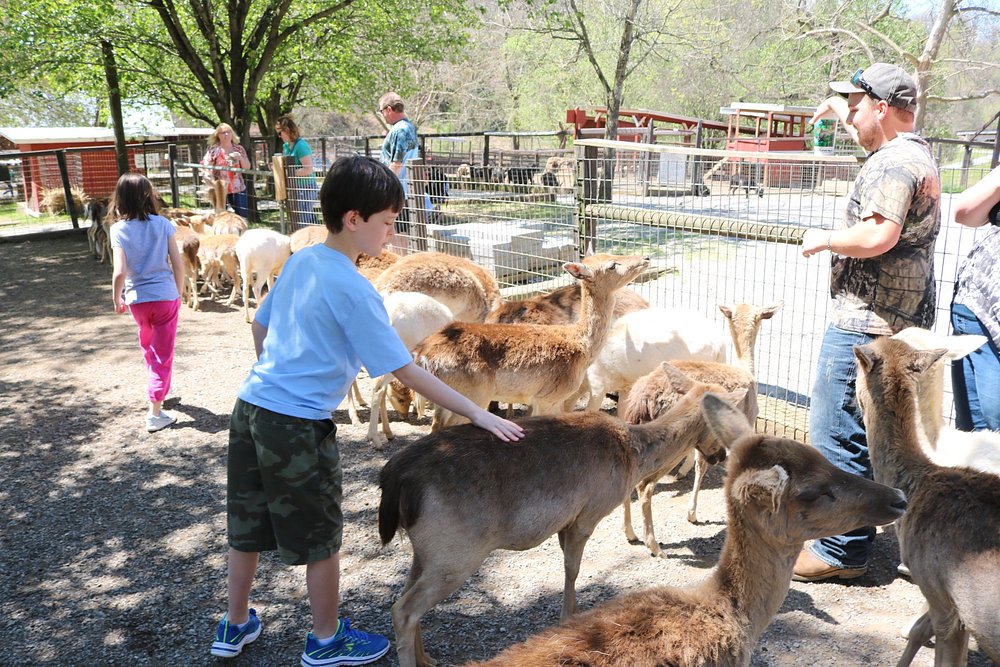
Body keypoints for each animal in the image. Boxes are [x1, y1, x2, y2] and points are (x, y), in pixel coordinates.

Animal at [378, 367, 743, 667]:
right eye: (721, 423)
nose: (719, 456)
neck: (633, 456)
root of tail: (397, 478)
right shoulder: (589, 511)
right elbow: (572, 568)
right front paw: (570, 617)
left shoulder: (566, 520)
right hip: (456, 550)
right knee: (403, 610)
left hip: (429, 549)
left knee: (405, 595)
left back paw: (427, 658)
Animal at [411, 253, 649, 429]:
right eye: (612, 265)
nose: (645, 258)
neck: (581, 347)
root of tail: (422, 355)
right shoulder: (548, 397)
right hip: (473, 393)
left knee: (435, 426)